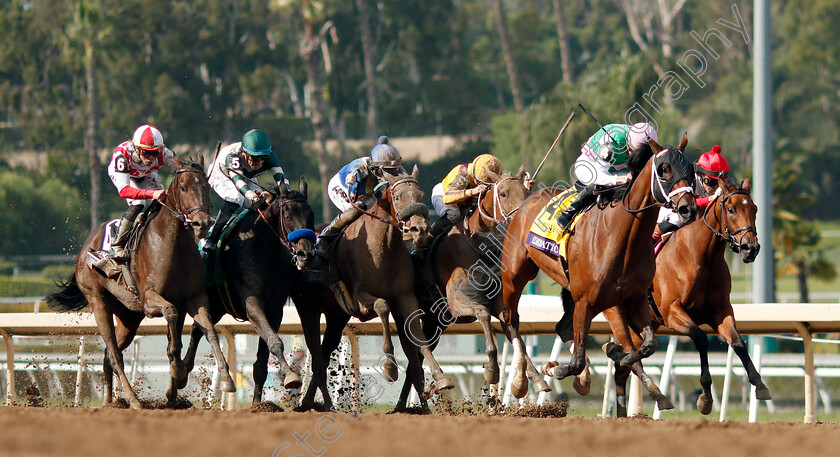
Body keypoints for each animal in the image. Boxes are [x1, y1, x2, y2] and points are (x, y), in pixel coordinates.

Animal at [46, 155, 220, 408]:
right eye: (183, 187)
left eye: (206, 187)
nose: (202, 223)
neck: (172, 243)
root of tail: (86, 247)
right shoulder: (149, 300)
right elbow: (170, 315)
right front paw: (177, 372)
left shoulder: (190, 298)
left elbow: (180, 336)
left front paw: (176, 384)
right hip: (98, 301)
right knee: (114, 353)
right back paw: (133, 400)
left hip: (128, 316)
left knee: (108, 354)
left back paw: (111, 401)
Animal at [182, 177, 316, 402]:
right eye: (288, 216)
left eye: (311, 216)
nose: (306, 255)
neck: (264, 250)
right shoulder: (252, 304)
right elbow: (275, 342)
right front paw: (290, 376)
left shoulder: (274, 310)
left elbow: (262, 361)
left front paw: (257, 404)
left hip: (217, 306)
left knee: (197, 328)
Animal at [498, 137, 696, 416]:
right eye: (664, 169)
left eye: (690, 169)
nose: (688, 209)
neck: (622, 239)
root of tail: (528, 199)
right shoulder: (588, 300)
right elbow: (577, 360)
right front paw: (557, 368)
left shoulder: (634, 299)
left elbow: (647, 345)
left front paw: (617, 353)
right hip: (514, 274)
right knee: (510, 320)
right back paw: (529, 380)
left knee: (561, 327)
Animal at [648, 176, 772, 412]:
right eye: (731, 209)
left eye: (755, 208)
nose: (750, 248)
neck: (700, 256)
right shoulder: (671, 311)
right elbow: (701, 338)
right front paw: (705, 397)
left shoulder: (721, 311)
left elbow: (738, 343)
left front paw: (760, 384)